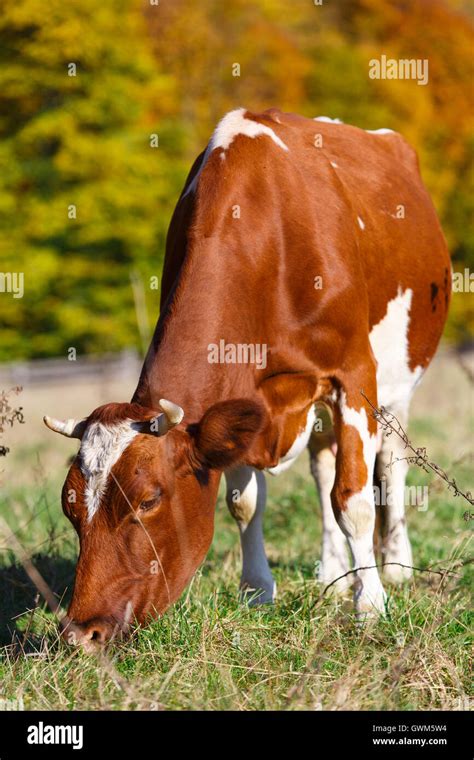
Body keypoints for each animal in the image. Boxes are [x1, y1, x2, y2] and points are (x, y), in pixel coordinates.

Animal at [44, 110, 452, 652]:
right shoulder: (240, 394)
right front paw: (257, 592)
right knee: (322, 464)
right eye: (69, 507)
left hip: (397, 380)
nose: (79, 634)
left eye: (148, 501)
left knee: (391, 461)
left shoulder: (353, 375)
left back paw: (396, 566)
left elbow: (354, 499)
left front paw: (370, 606)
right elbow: (245, 504)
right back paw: (330, 573)